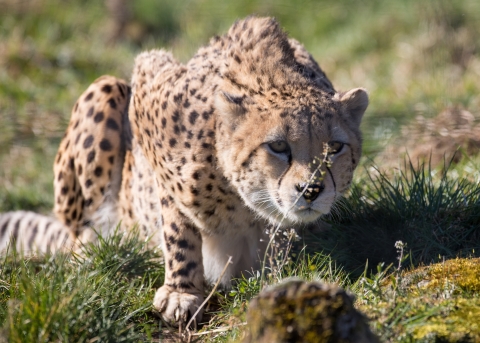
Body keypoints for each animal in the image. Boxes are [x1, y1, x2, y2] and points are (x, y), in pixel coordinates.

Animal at [0, 16, 368, 326]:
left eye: (335, 148)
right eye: (277, 146)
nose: (311, 190)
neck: (243, 202)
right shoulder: (148, 91)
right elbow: (177, 221)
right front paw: (182, 291)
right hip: (104, 91)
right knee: (80, 238)